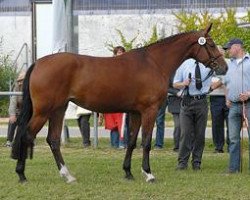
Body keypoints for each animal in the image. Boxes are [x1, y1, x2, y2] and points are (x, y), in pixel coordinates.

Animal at [11, 23, 228, 183]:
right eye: (210, 44)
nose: (224, 67)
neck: (154, 63)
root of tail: (38, 63)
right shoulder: (149, 111)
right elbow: (146, 142)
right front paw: (148, 174)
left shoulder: (135, 113)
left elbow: (131, 141)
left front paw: (128, 172)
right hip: (43, 111)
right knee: (26, 134)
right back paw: (22, 175)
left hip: (58, 109)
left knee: (53, 140)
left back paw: (68, 176)